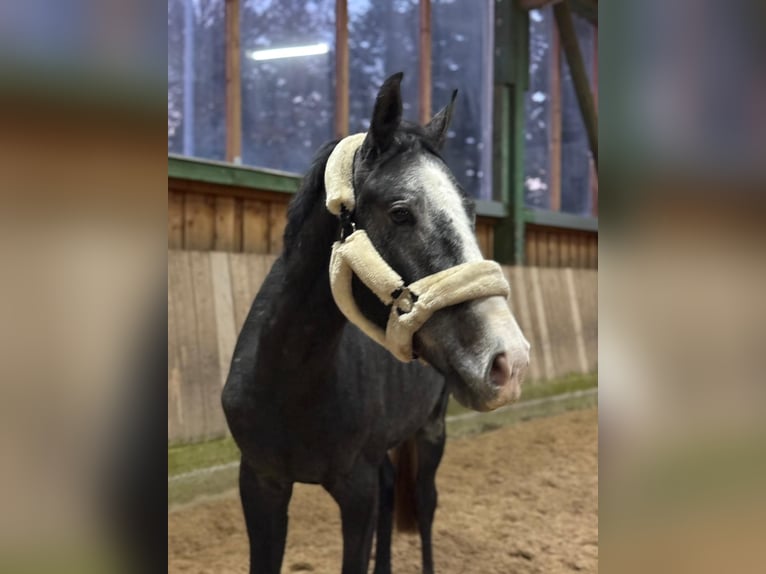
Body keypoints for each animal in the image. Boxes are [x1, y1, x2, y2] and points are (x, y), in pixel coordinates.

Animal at [222, 73, 532, 574]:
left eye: (471, 211)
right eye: (400, 212)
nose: (509, 361)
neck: (290, 383)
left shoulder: (356, 492)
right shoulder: (260, 485)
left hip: (430, 433)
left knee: (425, 503)